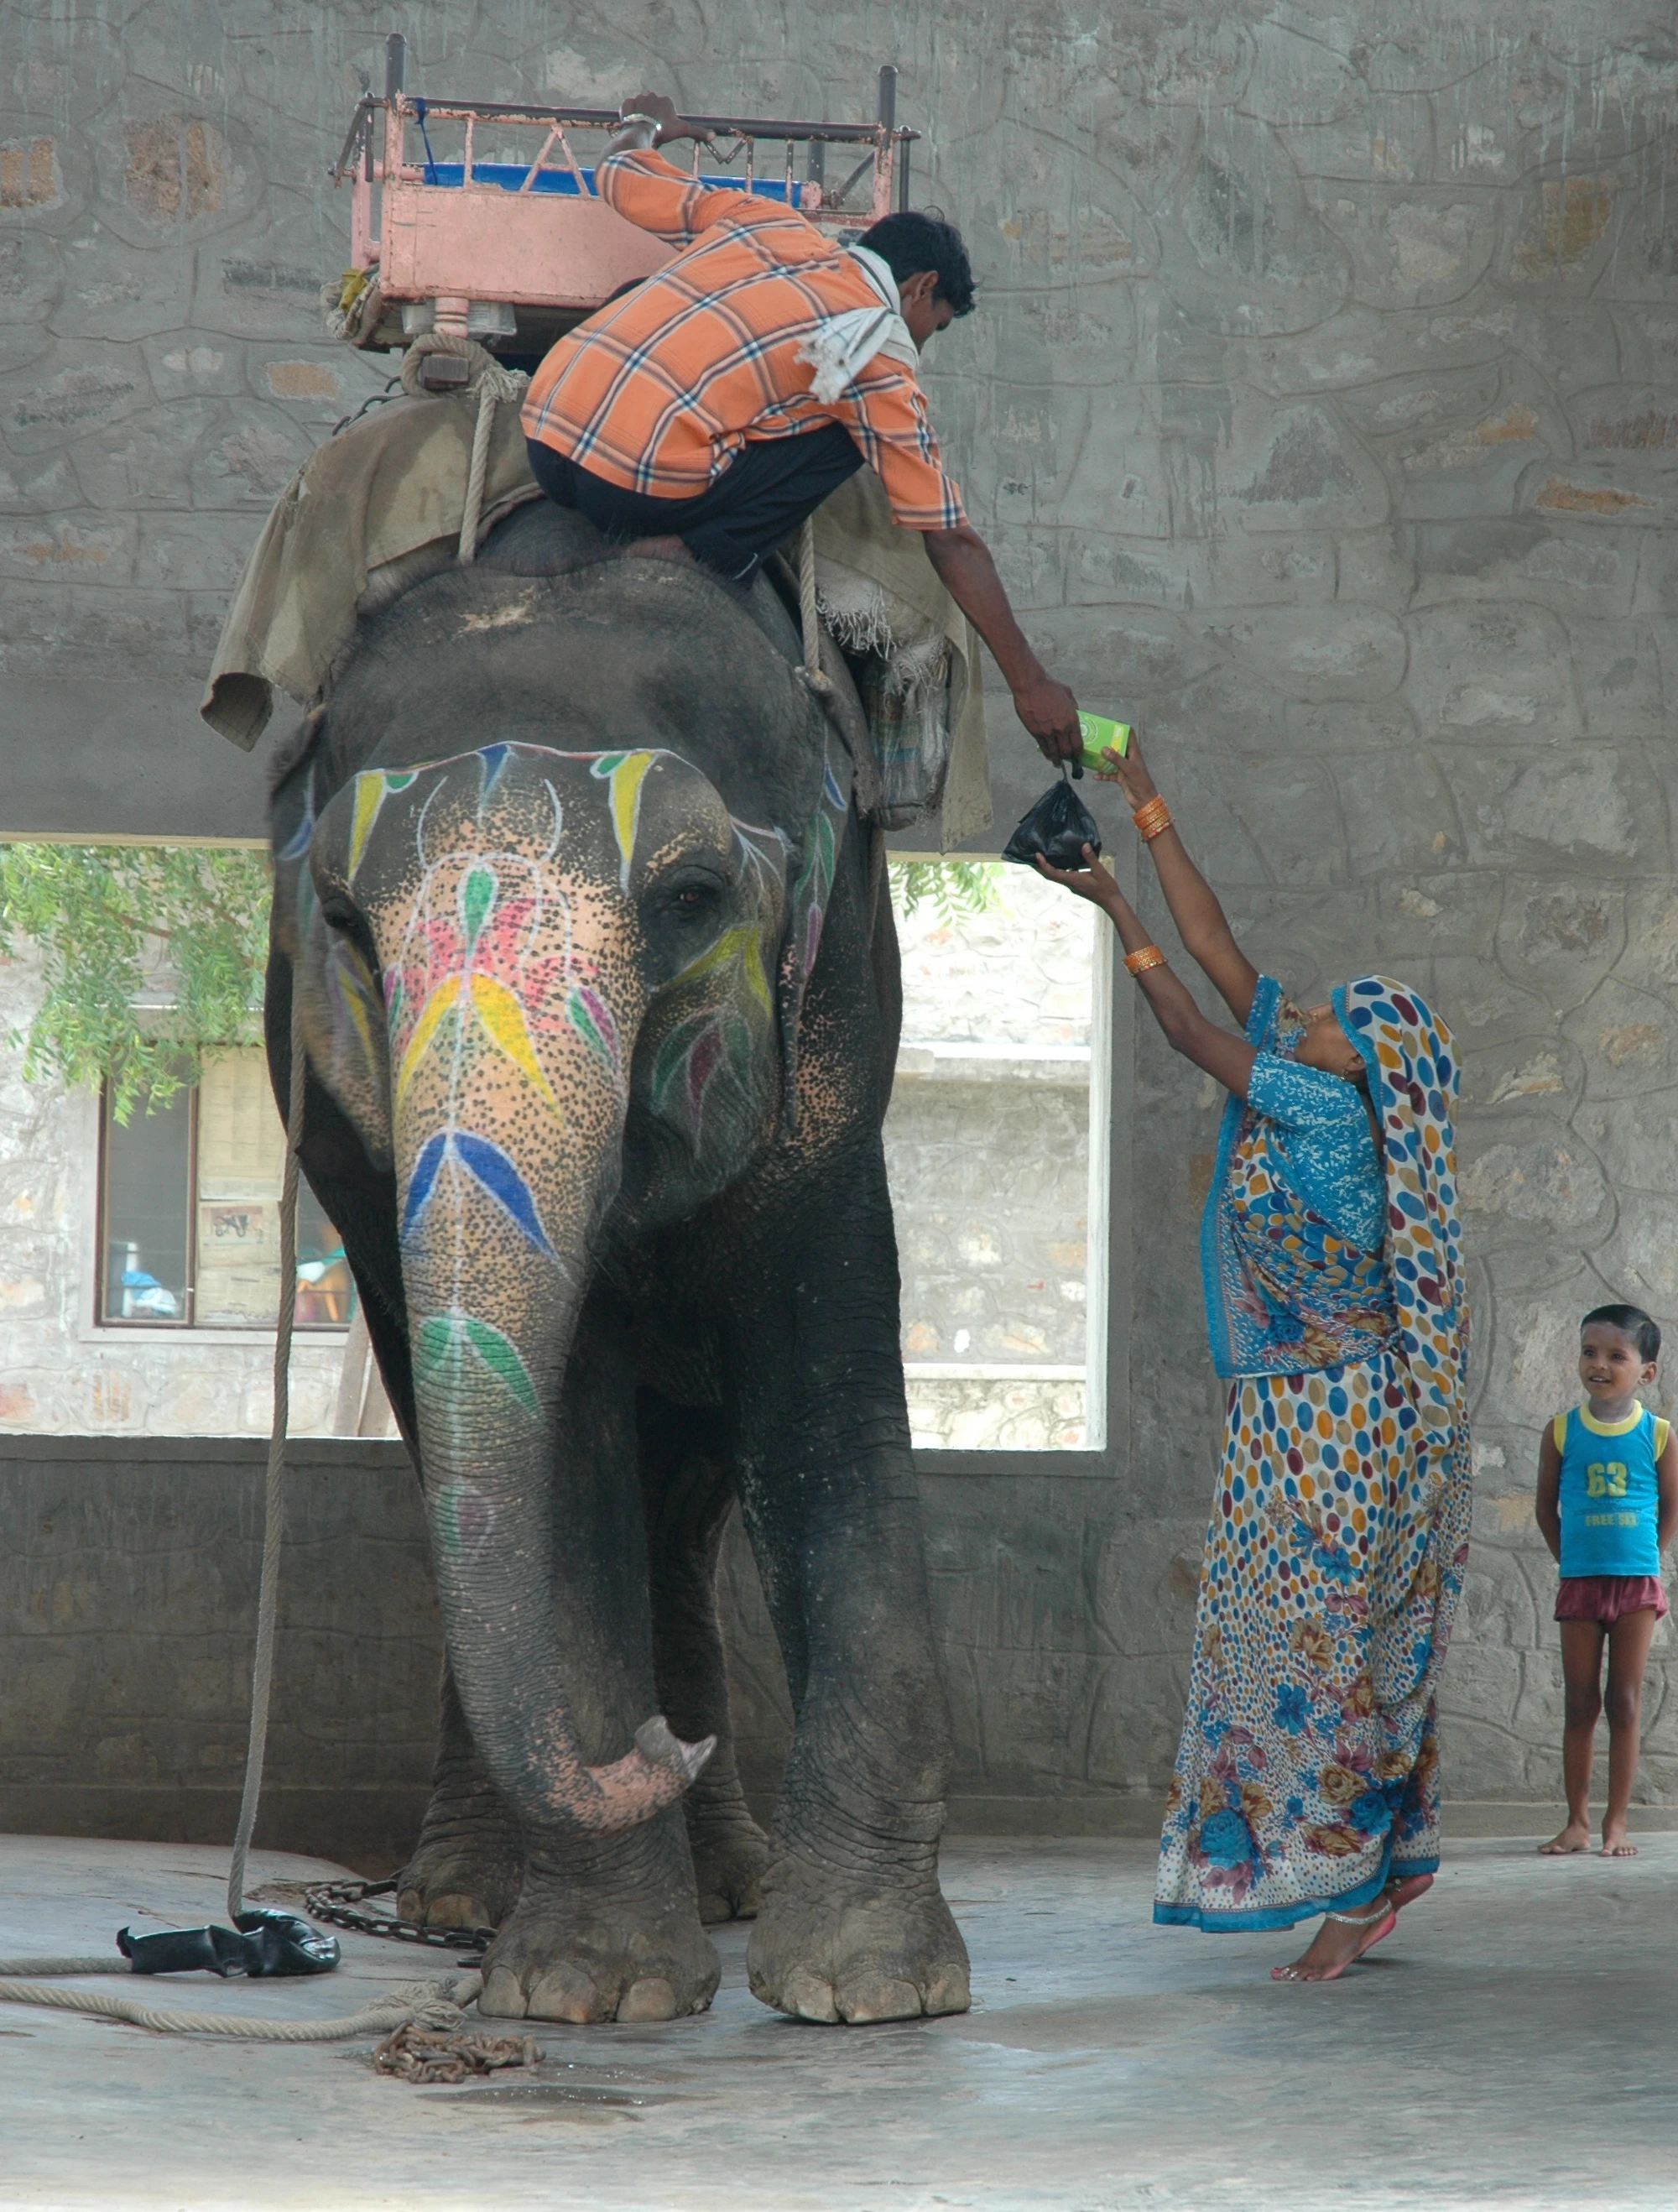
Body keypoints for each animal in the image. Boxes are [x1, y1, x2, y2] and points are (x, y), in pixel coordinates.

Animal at [265, 499, 971, 2026]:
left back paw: (726, 1876)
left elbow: (822, 1390)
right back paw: (470, 1900)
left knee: (689, 1483)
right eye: (341, 928)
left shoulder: (836, 1028)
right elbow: (565, 1446)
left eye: (695, 895)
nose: (652, 1745)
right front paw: (588, 1992)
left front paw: (869, 1991)